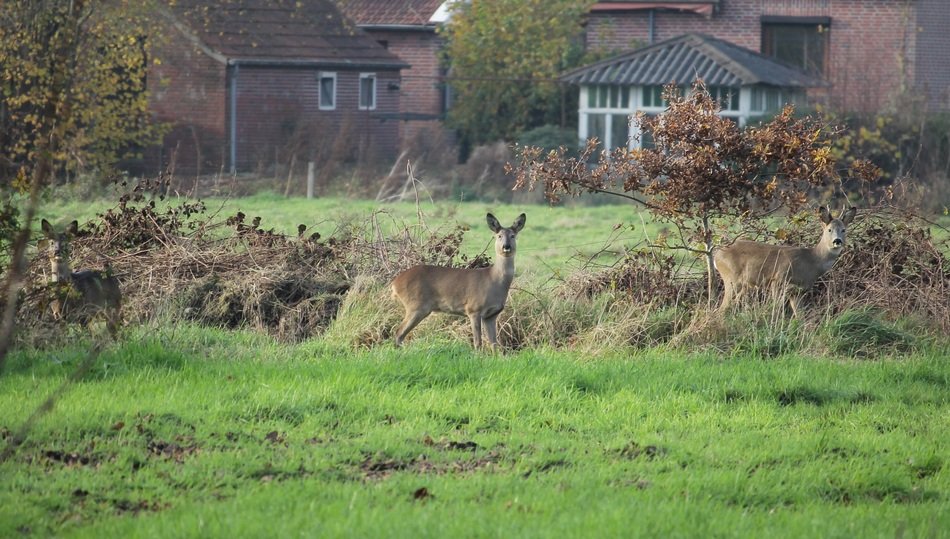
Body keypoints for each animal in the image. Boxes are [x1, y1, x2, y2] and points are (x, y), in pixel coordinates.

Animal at [391, 213, 526, 351]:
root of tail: (395, 283)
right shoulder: (473, 309)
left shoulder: (491, 315)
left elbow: (494, 344)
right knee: (398, 332)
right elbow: (478, 343)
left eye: (513, 235)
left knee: (399, 333)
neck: (494, 280)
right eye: (499, 236)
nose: (506, 247)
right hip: (416, 305)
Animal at [713, 206, 857, 317]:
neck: (811, 261)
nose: (837, 241)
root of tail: (716, 255)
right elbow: (776, 309)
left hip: (743, 284)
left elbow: (800, 316)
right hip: (732, 279)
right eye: (829, 230)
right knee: (721, 309)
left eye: (843, 230)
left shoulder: (798, 291)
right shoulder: (778, 280)